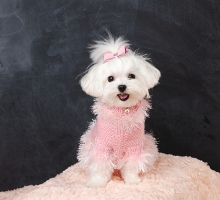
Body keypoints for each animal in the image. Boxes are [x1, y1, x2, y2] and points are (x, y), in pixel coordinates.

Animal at [77, 35, 160, 187]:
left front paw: (132, 180)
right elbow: (100, 165)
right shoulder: (102, 147)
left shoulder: (135, 148)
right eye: (110, 78)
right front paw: (97, 182)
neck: (122, 114)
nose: (122, 86)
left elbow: (132, 165)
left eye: (131, 76)